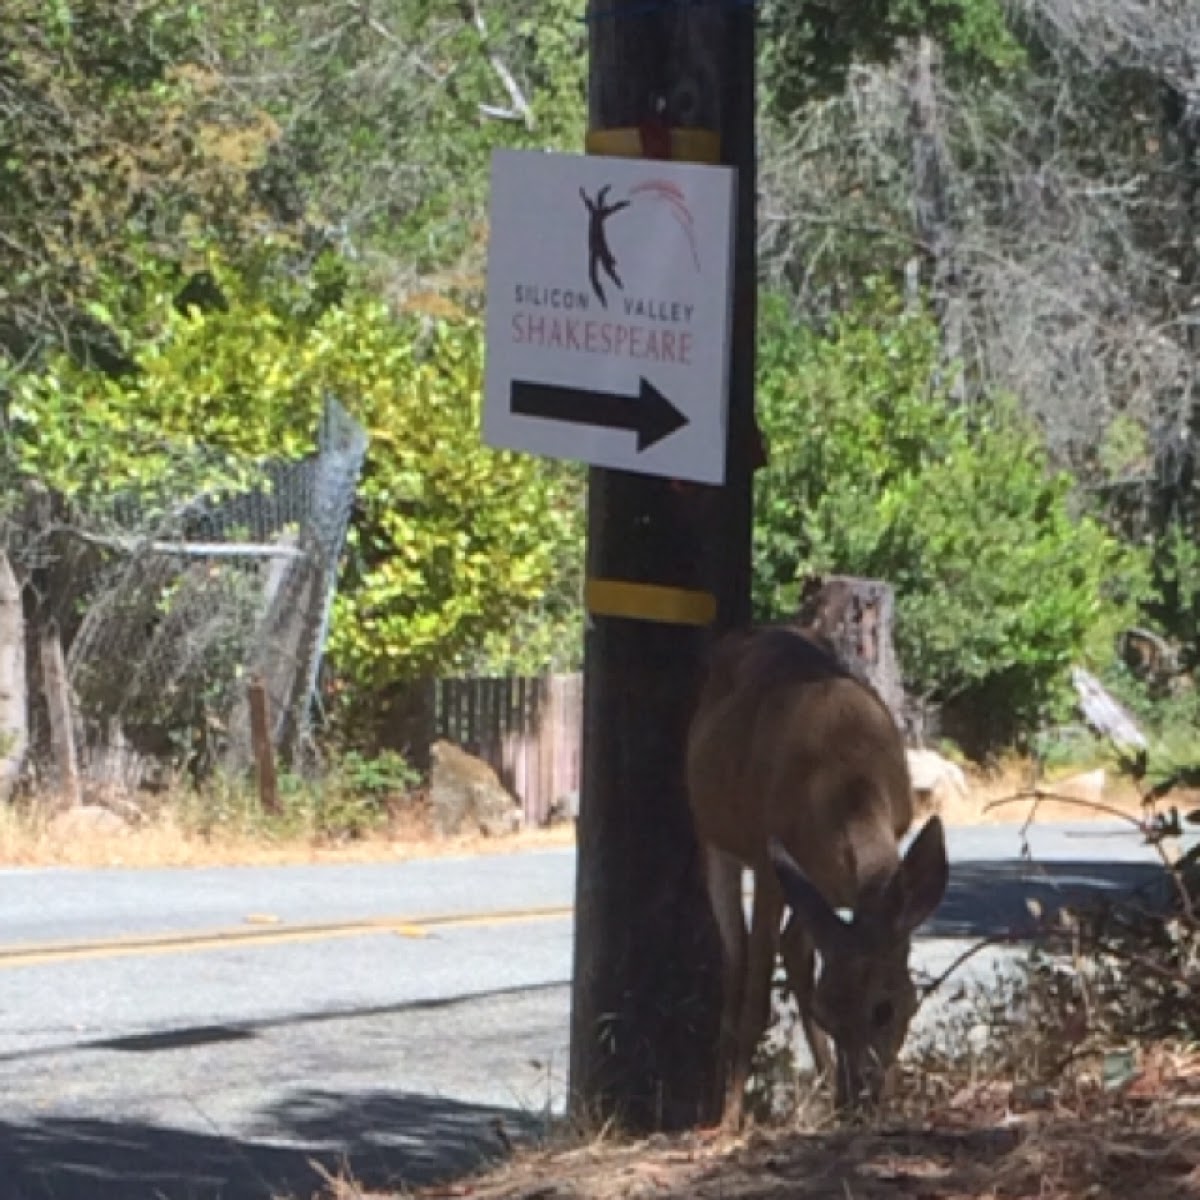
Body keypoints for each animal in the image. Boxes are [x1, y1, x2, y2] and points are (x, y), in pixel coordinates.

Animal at [686, 624, 945, 1128]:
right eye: (827, 1014)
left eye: (885, 1009)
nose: (859, 1097)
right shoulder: (769, 862)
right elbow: (758, 1002)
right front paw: (731, 1123)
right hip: (714, 836)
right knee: (735, 955)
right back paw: (721, 1106)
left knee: (792, 947)